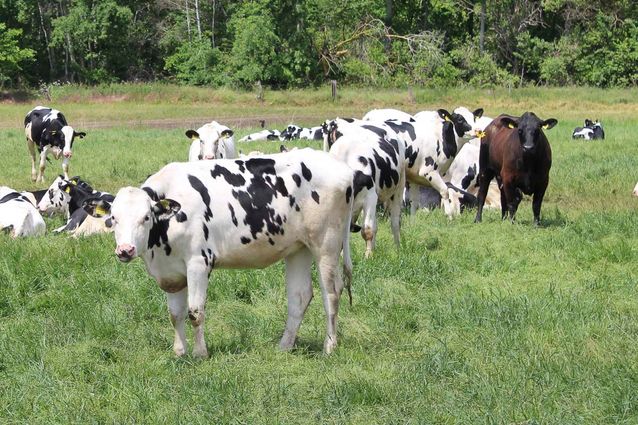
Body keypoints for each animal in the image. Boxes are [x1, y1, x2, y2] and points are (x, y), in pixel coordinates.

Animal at [83, 149, 356, 358]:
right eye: (113, 218)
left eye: (146, 217)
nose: (125, 250)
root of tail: (341, 168)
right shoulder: (170, 273)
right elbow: (174, 314)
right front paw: (179, 352)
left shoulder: (198, 263)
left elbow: (195, 312)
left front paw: (200, 354)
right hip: (299, 248)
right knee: (300, 297)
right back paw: (284, 346)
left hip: (327, 245)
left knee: (331, 293)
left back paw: (329, 346)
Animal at [322, 116, 408, 256]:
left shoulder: (370, 197)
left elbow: (367, 230)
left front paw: (368, 256)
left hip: (399, 187)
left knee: (395, 222)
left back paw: (398, 248)